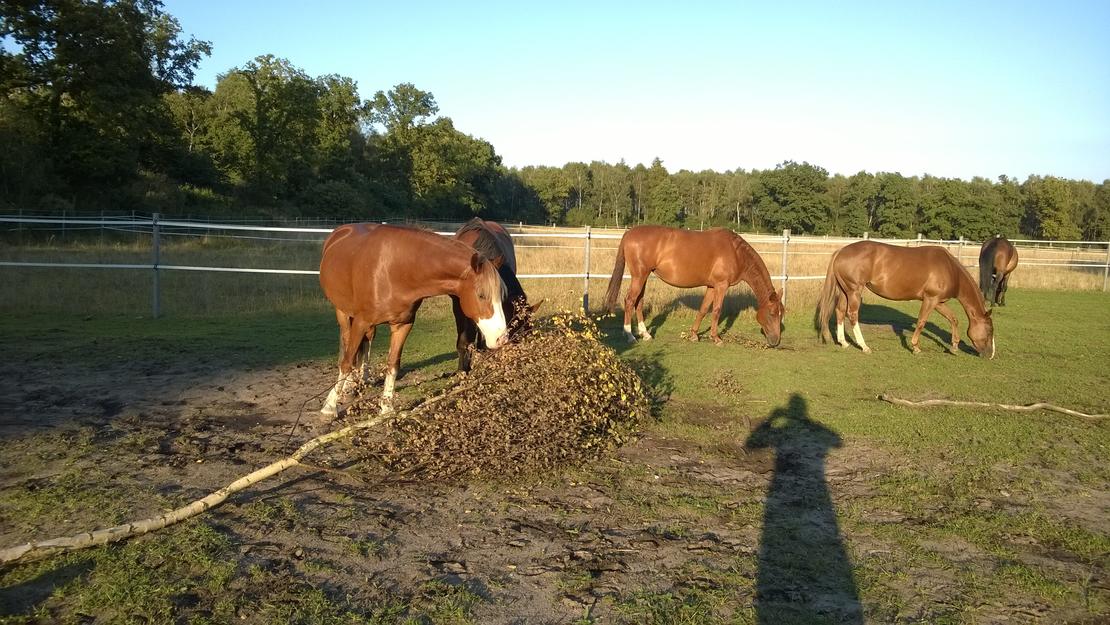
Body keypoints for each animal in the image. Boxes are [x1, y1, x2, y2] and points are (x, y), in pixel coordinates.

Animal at [318, 223, 509, 415]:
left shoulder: (402, 325)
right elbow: (347, 361)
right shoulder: (361, 321)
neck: (394, 270)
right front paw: (330, 406)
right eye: (481, 295)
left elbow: (393, 364)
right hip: (343, 312)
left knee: (367, 341)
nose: (501, 338)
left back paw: (362, 378)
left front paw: (386, 407)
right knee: (346, 342)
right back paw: (347, 387)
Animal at [604, 226, 784, 346]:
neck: (736, 252)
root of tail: (629, 233)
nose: (776, 341)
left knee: (638, 302)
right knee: (629, 301)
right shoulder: (721, 285)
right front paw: (716, 338)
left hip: (644, 276)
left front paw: (694, 335)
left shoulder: (712, 286)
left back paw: (645, 334)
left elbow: (703, 310)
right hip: (639, 276)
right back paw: (629, 335)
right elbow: (716, 311)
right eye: (772, 313)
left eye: (781, 314)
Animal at [816, 240, 995, 358]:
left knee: (840, 311)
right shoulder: (930, 300)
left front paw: (954, 346)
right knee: (852, 315)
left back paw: (844, 342)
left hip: (845, 291)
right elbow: (921, 322)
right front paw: (915, 347)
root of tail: (841, 251)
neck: (950, 269)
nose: (990, 355)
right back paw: (864, 346)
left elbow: (953, 319)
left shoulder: (938, 302)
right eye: (990, 330)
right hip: (854, 291)